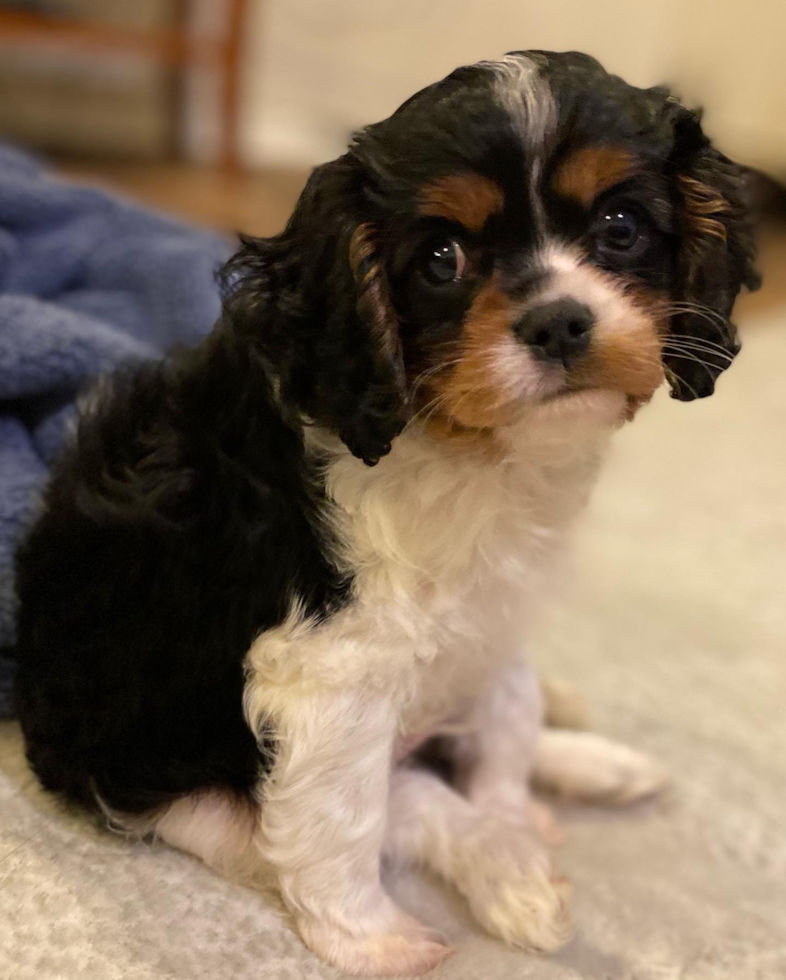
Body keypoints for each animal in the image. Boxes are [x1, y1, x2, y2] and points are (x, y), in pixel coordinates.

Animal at [15, 51, 756, 972]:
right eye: (441, 258)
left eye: (620, 228)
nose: (558, 321)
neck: (471, 452)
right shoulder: (326, 677)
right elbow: (345, 818)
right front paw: (371, 938)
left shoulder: (497, 609)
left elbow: (507, 713)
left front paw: (518, 797)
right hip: (179, 777)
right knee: (400, 801)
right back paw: (512, 873)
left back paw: (584, 767)